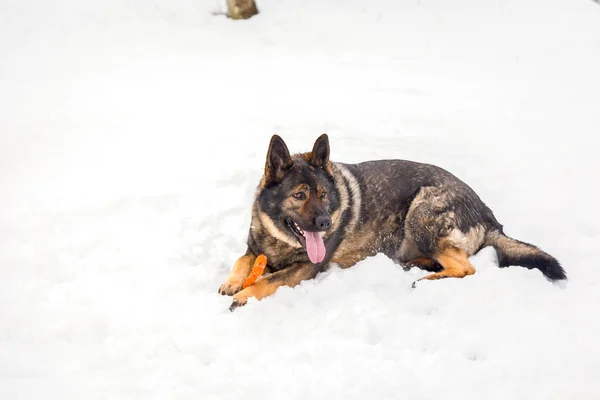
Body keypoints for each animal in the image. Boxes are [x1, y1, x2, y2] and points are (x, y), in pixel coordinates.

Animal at [218, 134, 564, 310]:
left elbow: (267, 280)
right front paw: (232, 282)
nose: (326, 222)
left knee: (466, 267)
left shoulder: (307, 268)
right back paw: (419, 266)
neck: (279, 238)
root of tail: (488, 214)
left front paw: (244, 295)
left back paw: (426, 279)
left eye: (324, 194)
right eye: (300, 195)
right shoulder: (254, 248)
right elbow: (240, 260)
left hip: (421, 213)